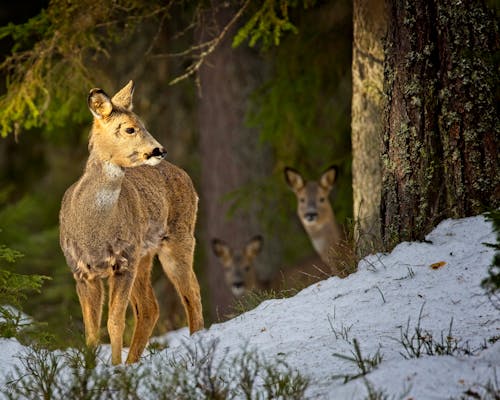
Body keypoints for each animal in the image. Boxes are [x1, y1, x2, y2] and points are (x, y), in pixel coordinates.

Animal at [59, 79, 204, 364]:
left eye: (144, 123)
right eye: (129, 128)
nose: (160, 150)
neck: (94, 229)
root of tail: (184, 174)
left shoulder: (123, 262)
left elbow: (114, 323)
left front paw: (114, 368)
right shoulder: (81, 272)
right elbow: (91, 332)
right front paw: (90, 371)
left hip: (178, 238)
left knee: (192, 292)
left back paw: (197, 342)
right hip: (144, 254)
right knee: (150, 307)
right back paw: (133, 361)